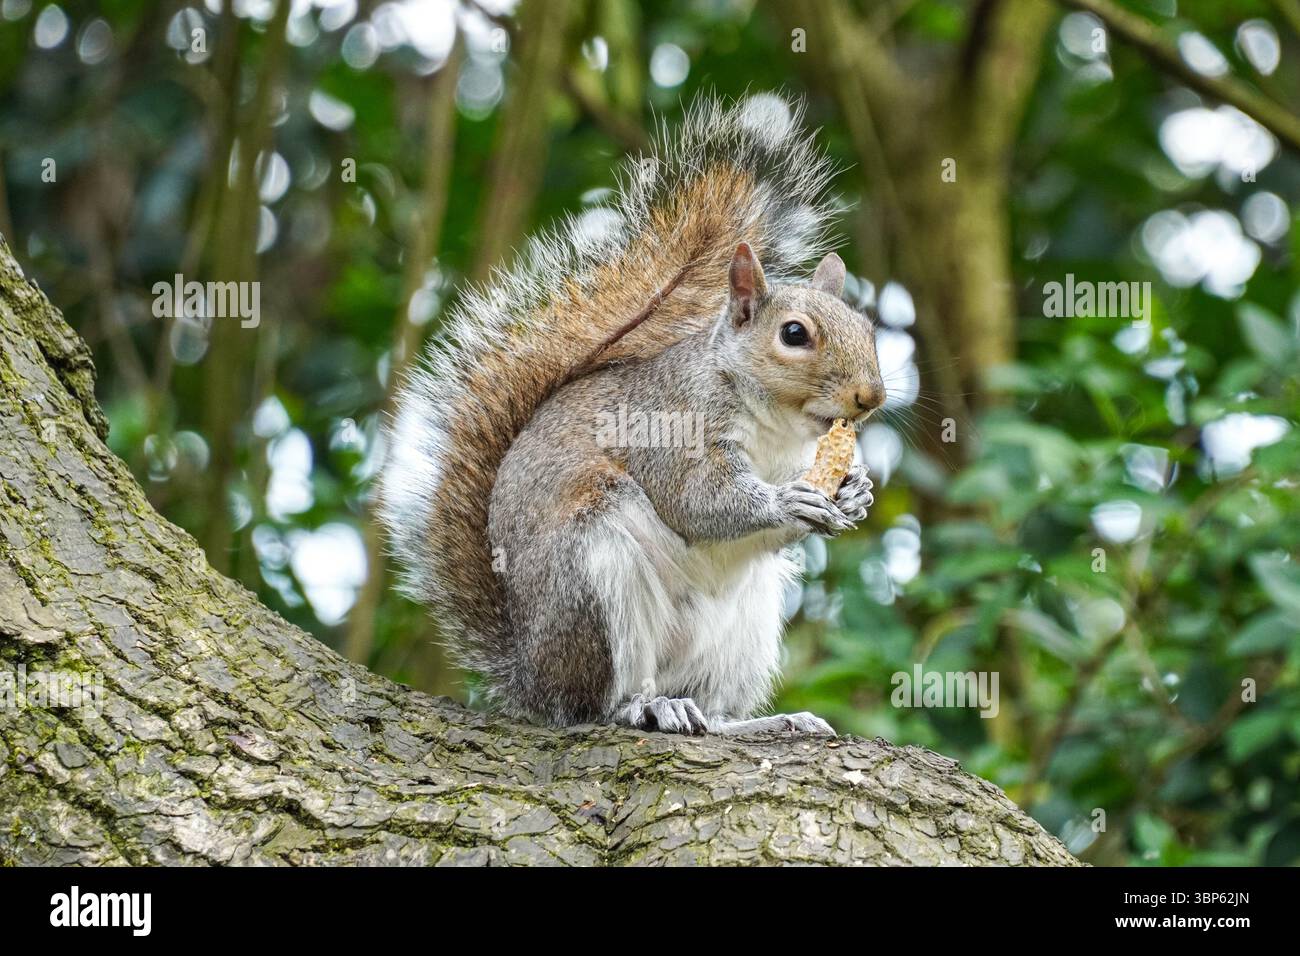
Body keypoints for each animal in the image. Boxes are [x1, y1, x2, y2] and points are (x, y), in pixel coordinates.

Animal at [380, 94, 884, 736]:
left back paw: (759, 722)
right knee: (595, 704)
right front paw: (786, 501)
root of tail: (531, 677)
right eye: (794, 334)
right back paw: (644, 707)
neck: (777, 430)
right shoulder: (671, 428)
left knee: (711, 710)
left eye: (867, 327)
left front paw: (856, 491)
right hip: (593, 574)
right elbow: (699, 501)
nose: (872, 397)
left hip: (745, 626)